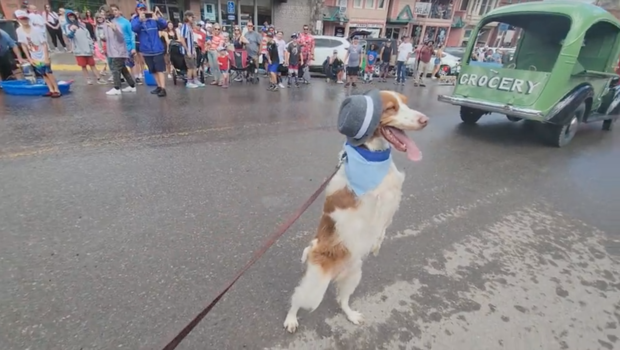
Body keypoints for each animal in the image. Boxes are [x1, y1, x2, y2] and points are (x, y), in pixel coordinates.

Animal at [284, 89, 428, 330]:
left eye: (406, 103)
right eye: (391, 108)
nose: (425, 120)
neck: (372, 158)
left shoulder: (392, 198)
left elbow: (383, 227)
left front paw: (377, 246)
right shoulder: (372, 197)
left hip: (353, 276)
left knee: (342, 300)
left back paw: (351, 315)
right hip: (314, 289)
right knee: (296, 299)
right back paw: (291, 319)